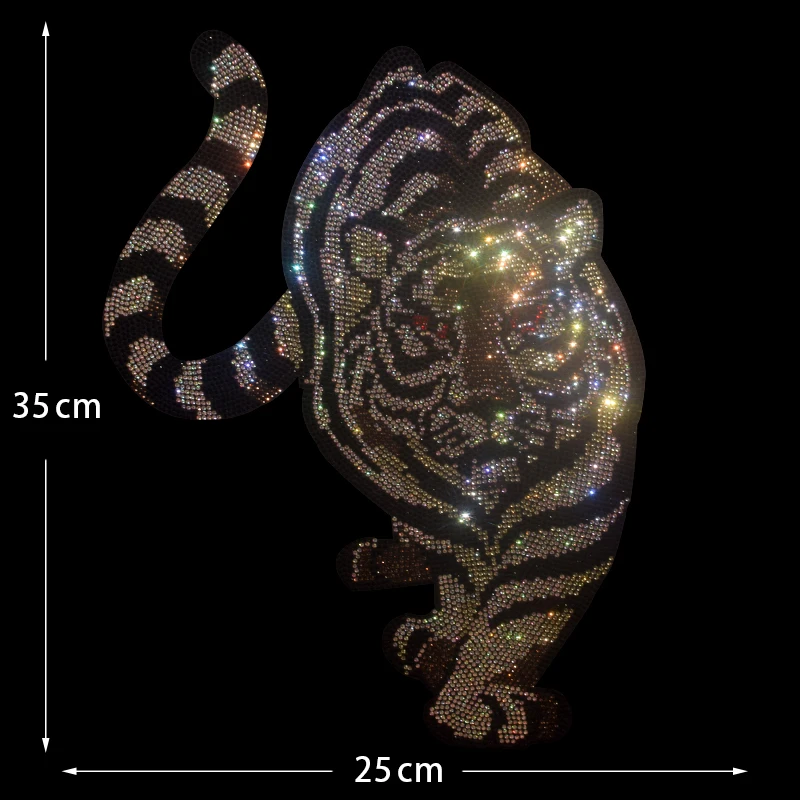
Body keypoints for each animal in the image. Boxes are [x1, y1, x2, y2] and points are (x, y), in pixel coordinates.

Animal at [104, 31, 644, 747]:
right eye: (429, 327)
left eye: (529, 318)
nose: (489, 407)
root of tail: (412, 66)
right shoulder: (412, 482)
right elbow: (459, 567)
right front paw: (453, 672)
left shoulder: (582, 500)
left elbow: (523, 612)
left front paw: (479, 696)